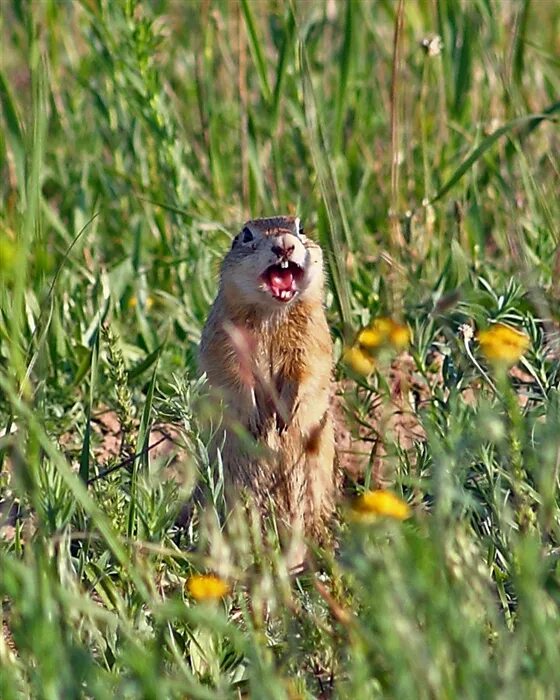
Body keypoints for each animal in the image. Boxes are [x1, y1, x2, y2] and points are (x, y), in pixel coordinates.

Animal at [199, 216, 334, 560]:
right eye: (246, 236)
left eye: (300, 228)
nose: (284, 245)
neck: (272, 312)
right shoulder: (225, 341)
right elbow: (234, 375)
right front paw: (256, 421)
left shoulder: (312, 340)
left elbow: (306, 371)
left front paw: (285, 418)